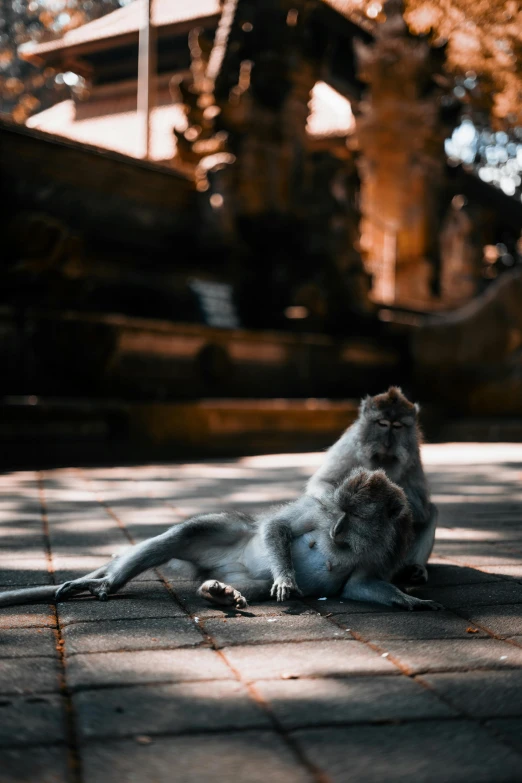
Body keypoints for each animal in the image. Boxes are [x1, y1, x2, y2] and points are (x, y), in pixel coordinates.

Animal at [0, 466, 440, 612]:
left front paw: (411, 601)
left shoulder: (383, 549)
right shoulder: (317, 509)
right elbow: (279, 528)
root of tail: (226, 563)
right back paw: (107, 582)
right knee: (187, 532)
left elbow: (358, 584)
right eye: (339, 514)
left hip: (236, 571)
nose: (335, 530)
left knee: (249, 585)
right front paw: (287, 578)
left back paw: (220, 593)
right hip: (225, 534)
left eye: (353, 517)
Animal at [304, 388, 434, 584]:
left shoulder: (413, 453)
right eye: (382, 424)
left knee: (431, 512)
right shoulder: (349, 444)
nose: (388, 444)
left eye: (398, 426)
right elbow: (323, 481)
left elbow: (420, 509)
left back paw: (413, 569)